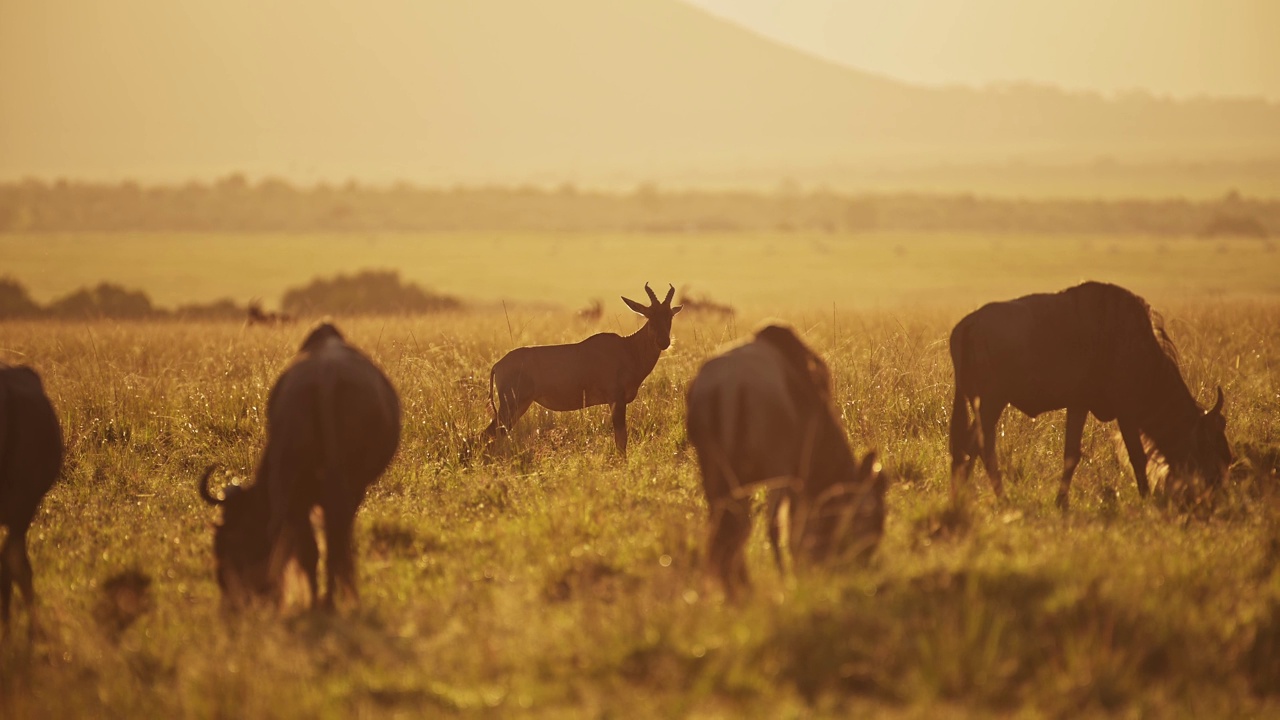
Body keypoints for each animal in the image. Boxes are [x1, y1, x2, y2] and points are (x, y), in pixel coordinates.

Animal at [481, 281, 686, 453]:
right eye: (649, 315)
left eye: (669, 316)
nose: (664, 342)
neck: (627, 348)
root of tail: (497, 365)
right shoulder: (616, 400)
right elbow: (621, 440)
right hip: (511, 405)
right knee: (487, 434)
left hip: (518, 406)